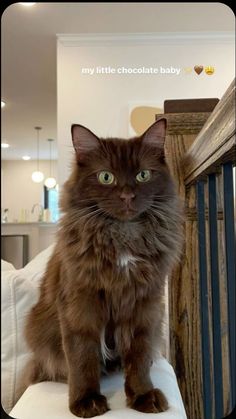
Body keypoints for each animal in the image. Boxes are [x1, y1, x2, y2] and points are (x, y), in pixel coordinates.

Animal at [24, 119, 183, 419]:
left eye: (143, 175)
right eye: (106, 177)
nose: (127, 196)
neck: (123, 237)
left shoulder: (145, 305)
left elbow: (139, 356)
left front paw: (142, 395)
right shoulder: (80, 305)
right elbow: (82, 357)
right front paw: (85, 401)